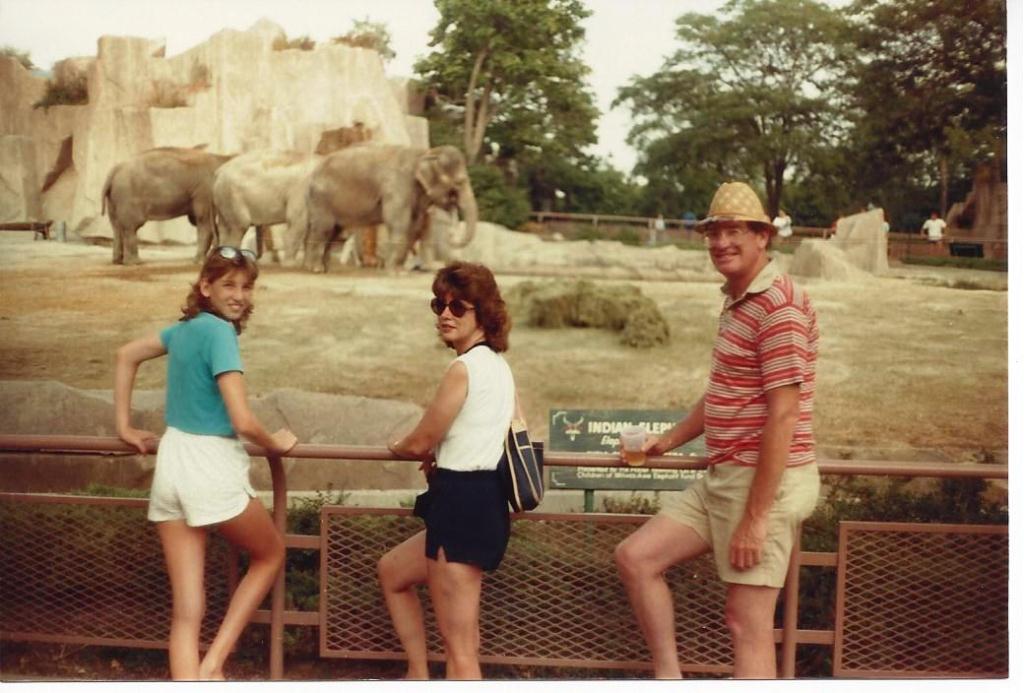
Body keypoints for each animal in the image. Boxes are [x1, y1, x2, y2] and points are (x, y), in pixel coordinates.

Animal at [101, 146, 233, 264]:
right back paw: (135, 262)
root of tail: (114, 170)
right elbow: (203, 222)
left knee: (116, 227)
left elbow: (197, 221)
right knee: (130, 227)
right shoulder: (204, 191)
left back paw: (117, 261)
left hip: (114, 199)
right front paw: (200, 262)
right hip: (127, 196)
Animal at [304, 144, 478, 272]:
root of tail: (313, 173)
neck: (426, 153)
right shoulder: (398, 185)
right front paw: (394, 271)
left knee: (334, 230)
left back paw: (326, 268)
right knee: (324, 228)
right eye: (459, 182)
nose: (451, 235)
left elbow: (413, 225)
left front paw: (400, 271)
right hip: (321, 199)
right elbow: (398, 222)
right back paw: (316, 269)